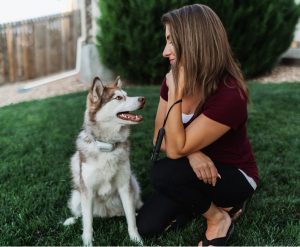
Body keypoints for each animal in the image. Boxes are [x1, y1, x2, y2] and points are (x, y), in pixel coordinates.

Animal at [63, 76, 144, 246]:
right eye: (118, 98)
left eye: (127, 94)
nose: (143, 99)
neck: (107, 146)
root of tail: (107, 213)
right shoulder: (87, 190)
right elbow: (87, 221)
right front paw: (87, 241)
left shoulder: (124, 186)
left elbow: (131, 220)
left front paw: (136, 239)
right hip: (76, 196)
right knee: (81, 215)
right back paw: (71, 220)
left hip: (134, 184)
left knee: (131, 209)